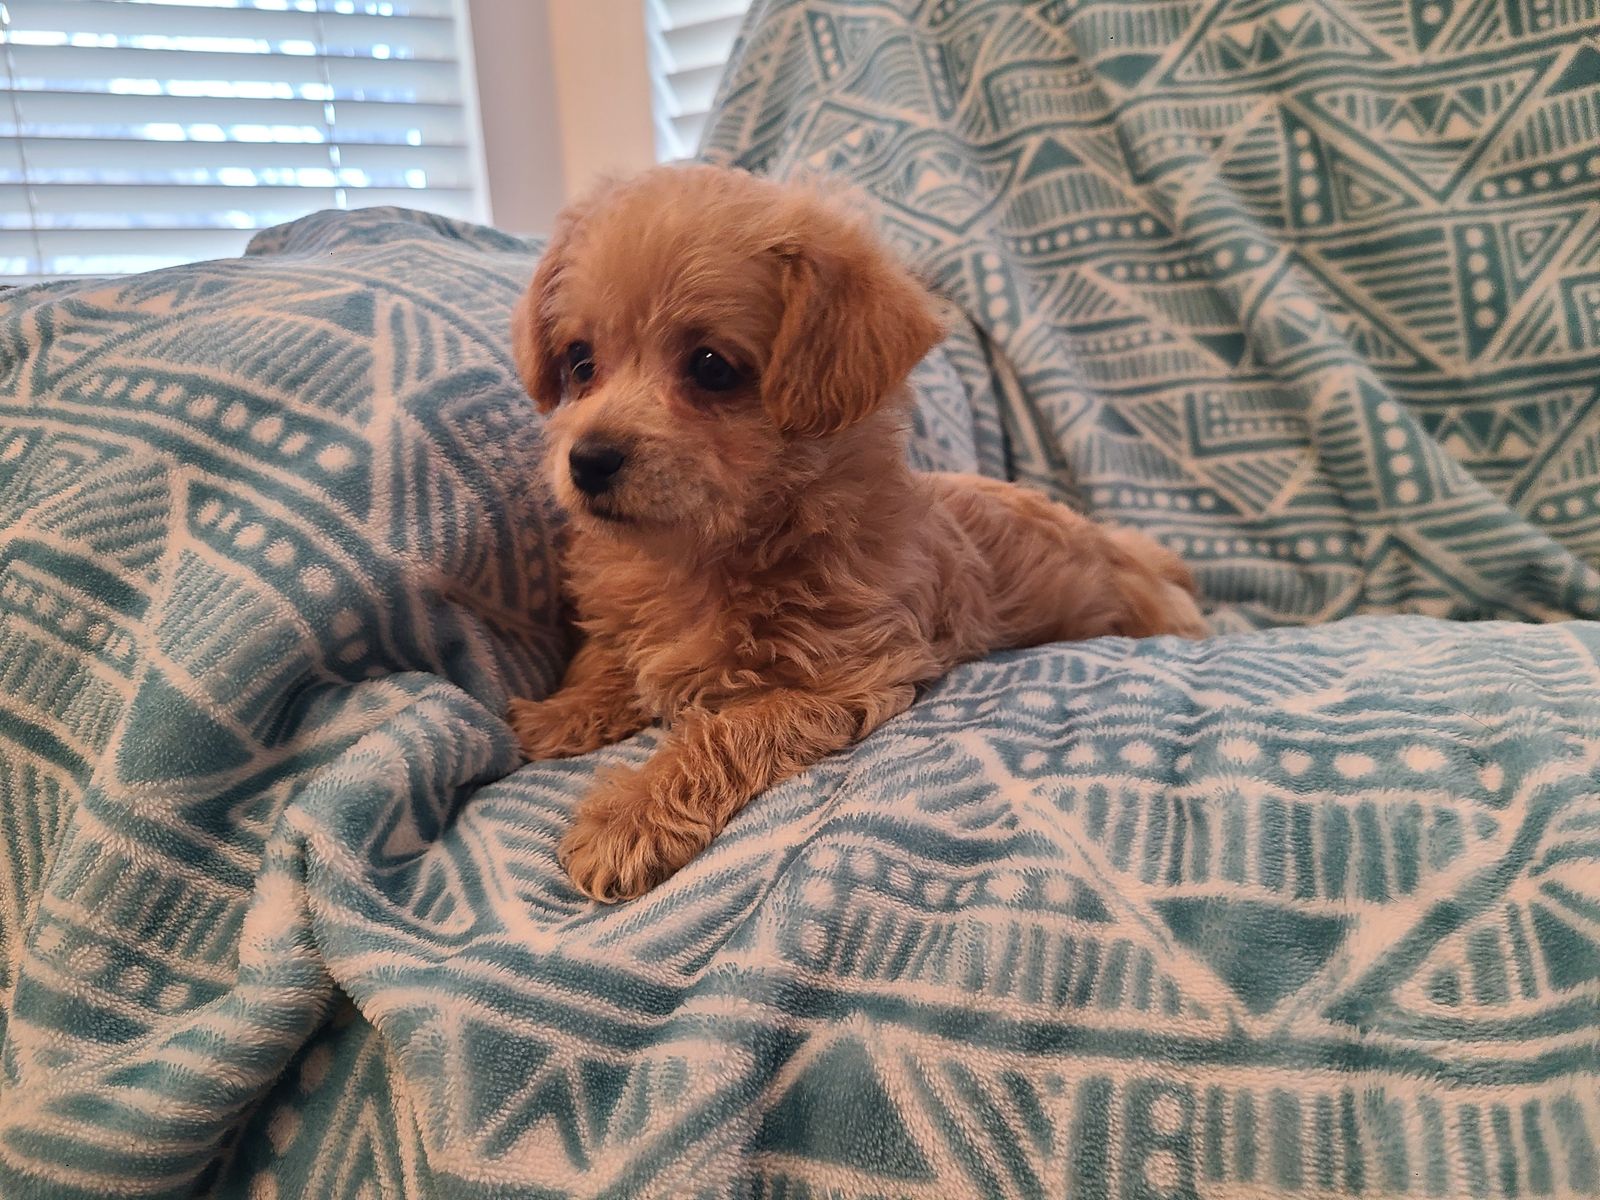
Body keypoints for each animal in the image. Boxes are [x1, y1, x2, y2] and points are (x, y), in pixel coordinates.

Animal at [506, 164, 1206, 902]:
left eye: (711, 367)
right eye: (580, 362)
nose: (587, 460)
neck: (701, 557)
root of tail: (1124, 547)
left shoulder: (847, 678)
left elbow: (729, 730)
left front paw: (629, 816)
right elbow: (608, 656)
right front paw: (562, 711)